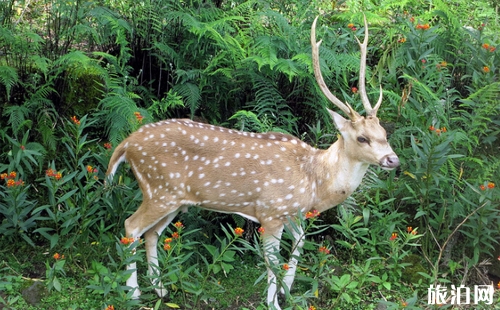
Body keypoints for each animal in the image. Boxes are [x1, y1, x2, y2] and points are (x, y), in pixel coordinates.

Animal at [104, 15, 398, 310]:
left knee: (152, 233)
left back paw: (161, 289)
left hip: (174, 199)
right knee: (131, 226)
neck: (314, 180)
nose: (392, 159)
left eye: (384, 133)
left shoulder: (292, 213)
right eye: (362, 138)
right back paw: (134, 294)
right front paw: (274, 303)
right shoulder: (272, 211)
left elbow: (299, 244)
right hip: (159, 189)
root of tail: (126, 144)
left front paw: (287, 291)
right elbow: (272, 261)